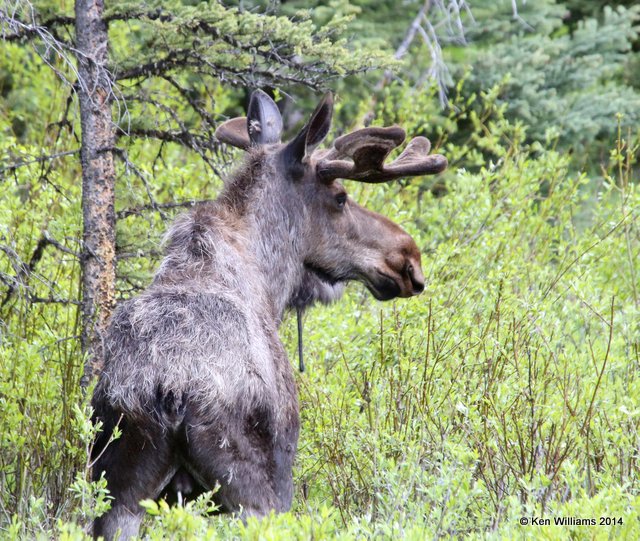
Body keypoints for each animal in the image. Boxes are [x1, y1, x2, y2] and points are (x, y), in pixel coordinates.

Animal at [92, 90, 448, 536]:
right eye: (340, 197)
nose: (407, 258)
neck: (270, 285)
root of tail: (171, 390)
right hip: (258, 491)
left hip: (115, 492)